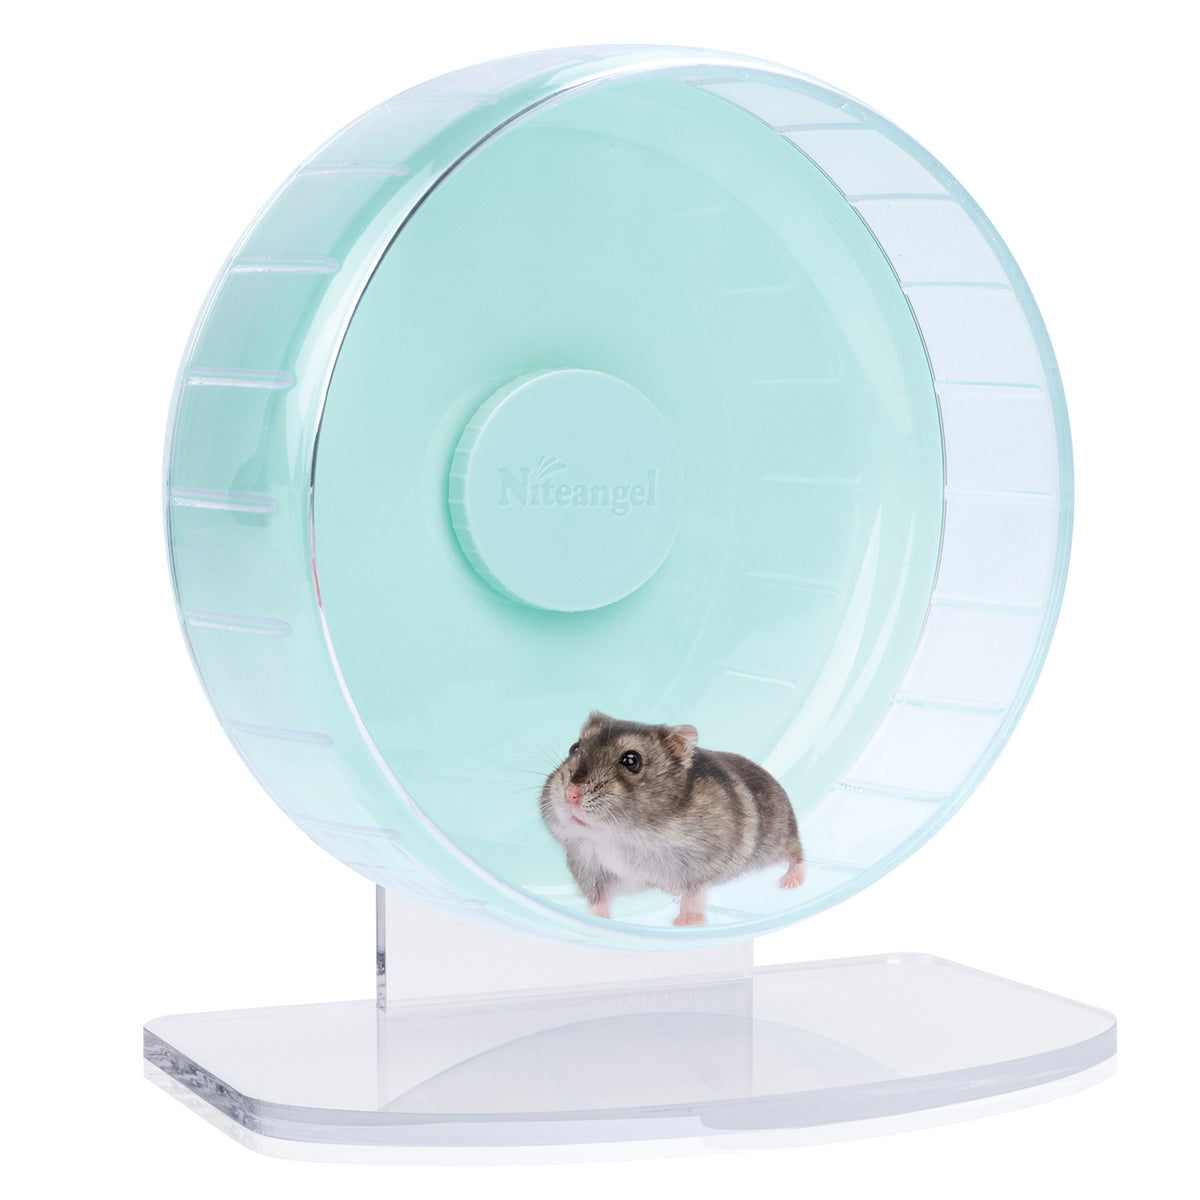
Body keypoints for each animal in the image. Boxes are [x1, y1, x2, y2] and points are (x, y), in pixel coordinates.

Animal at [540, 712, 805, 926]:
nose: (570, 794)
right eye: (575, 748)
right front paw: (594, 918)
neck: (623, 834)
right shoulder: (587, 866)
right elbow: (598, 896)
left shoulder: (701, 863)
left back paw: (791, 882)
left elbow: (693, 893)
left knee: (796, 852)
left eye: (631, 760)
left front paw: (687, 923)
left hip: (781, 836)